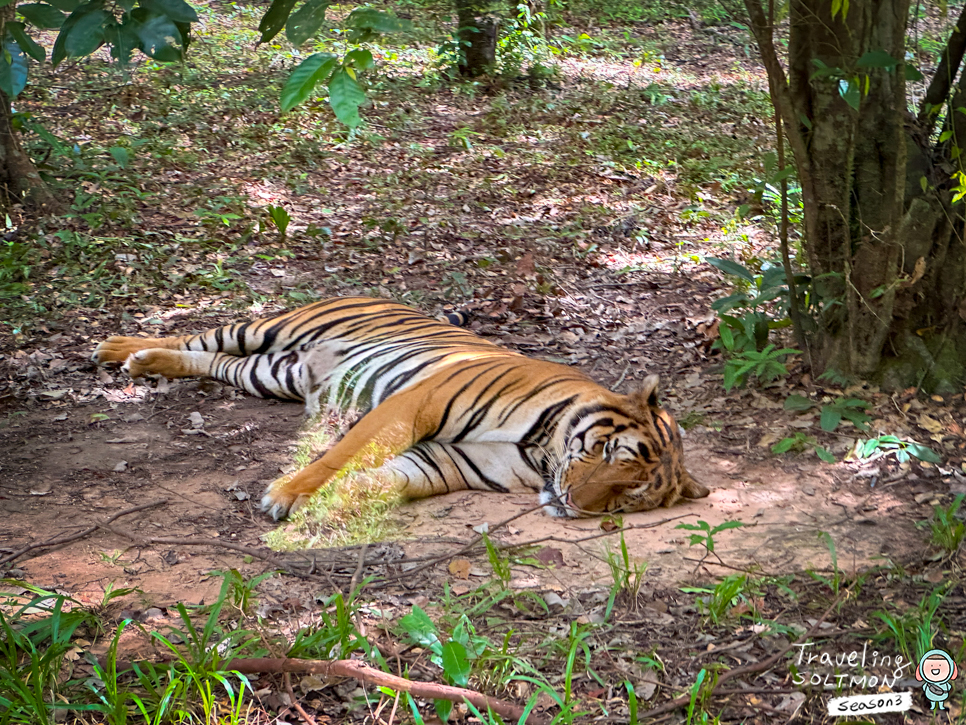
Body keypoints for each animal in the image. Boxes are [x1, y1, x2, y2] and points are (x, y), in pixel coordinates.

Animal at [92, 296, 712, 516]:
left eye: (628, 496)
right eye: (609, 454)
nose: (574, 505)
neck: (541, 449)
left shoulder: (450, 461)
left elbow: (387, 479)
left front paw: (333, 503)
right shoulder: (415, 404)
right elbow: (341, 454)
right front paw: (287, 494)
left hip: (270, 374)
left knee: (212, 361)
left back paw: (142, 361)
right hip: (270, 328)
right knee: (203, 334)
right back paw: (119, 348)